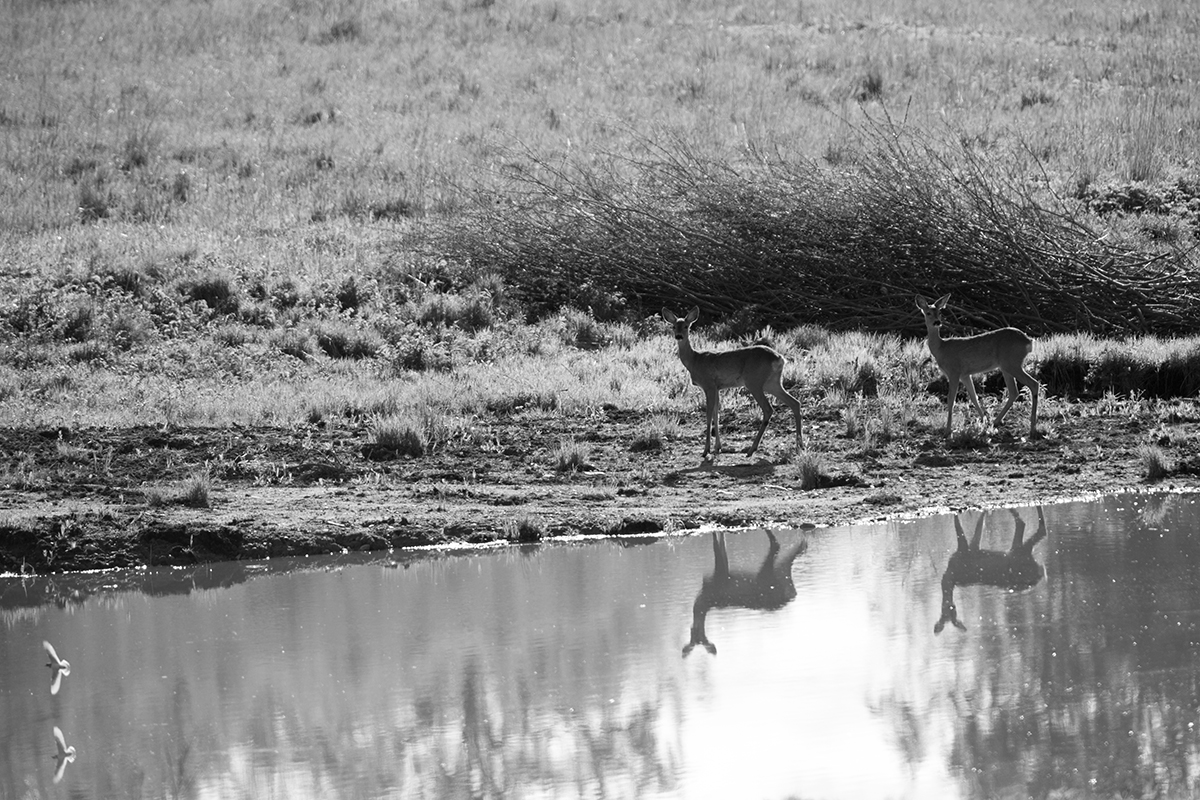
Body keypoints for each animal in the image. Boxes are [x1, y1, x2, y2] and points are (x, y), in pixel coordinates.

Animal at [662, 307, 801, 460]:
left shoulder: (709, 385)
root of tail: (780, 358)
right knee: (795, 403)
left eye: (686, 326)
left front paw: (706, 450)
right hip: (772, 383)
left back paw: (752, 449)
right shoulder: (717, 388)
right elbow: (716, 414)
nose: (679, 336)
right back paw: (799, 445)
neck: (694, 361)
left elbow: (709, 415)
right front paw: (718, 447)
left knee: (768, 409)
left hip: (754, 382)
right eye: (673, 326)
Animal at [681, 532, 811, 657]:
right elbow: (722, 543)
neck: (706, 598)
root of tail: (791, 596)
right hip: (780, 573)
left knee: (777, 545)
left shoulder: (720, 573)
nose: (695, 630)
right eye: (693, 634)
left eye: (701, 636)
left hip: (768, 576)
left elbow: (716, 545)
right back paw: (803, 544)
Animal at [912, 293, 1036, 441]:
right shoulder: (965, 374)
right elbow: (974, 397)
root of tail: (1028, 341)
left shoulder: (954, 371)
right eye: (928, 312)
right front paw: (984, 423)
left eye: (940, 312)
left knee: (1033, 384)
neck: (941, 349)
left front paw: (948, 431)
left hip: (1012, 363)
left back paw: (1032, 429)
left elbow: (951, 399)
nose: (937, 322)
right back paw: (996, 421)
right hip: (1007, 366)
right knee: (1014, 392)